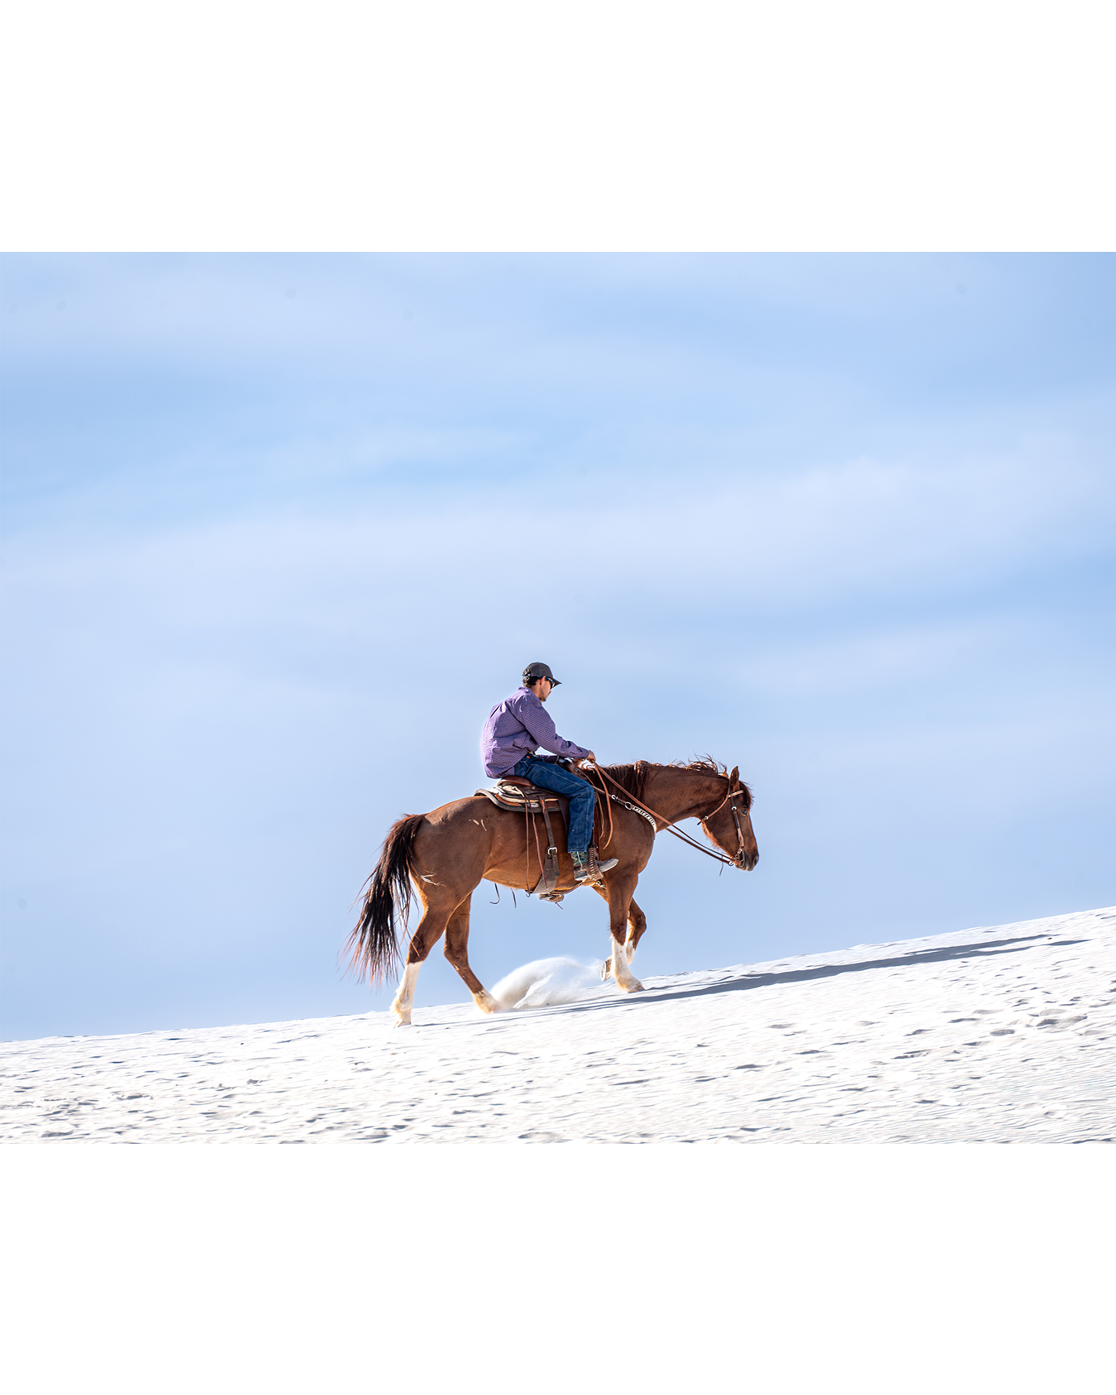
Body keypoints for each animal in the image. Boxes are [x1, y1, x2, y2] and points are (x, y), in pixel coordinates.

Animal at [346, 758, 758, 1025]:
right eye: (741, 807)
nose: (751, 858)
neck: (630, 803)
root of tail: (421, 821)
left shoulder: (602, 879)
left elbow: (636, 922)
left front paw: (610, 967)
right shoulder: (623, 876)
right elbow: (619, 925)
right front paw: (625, 979)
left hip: (461, 898)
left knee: (454, 951)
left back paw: (492, 1005)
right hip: (445, 898)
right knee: (420, 947)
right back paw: (403, 1012)